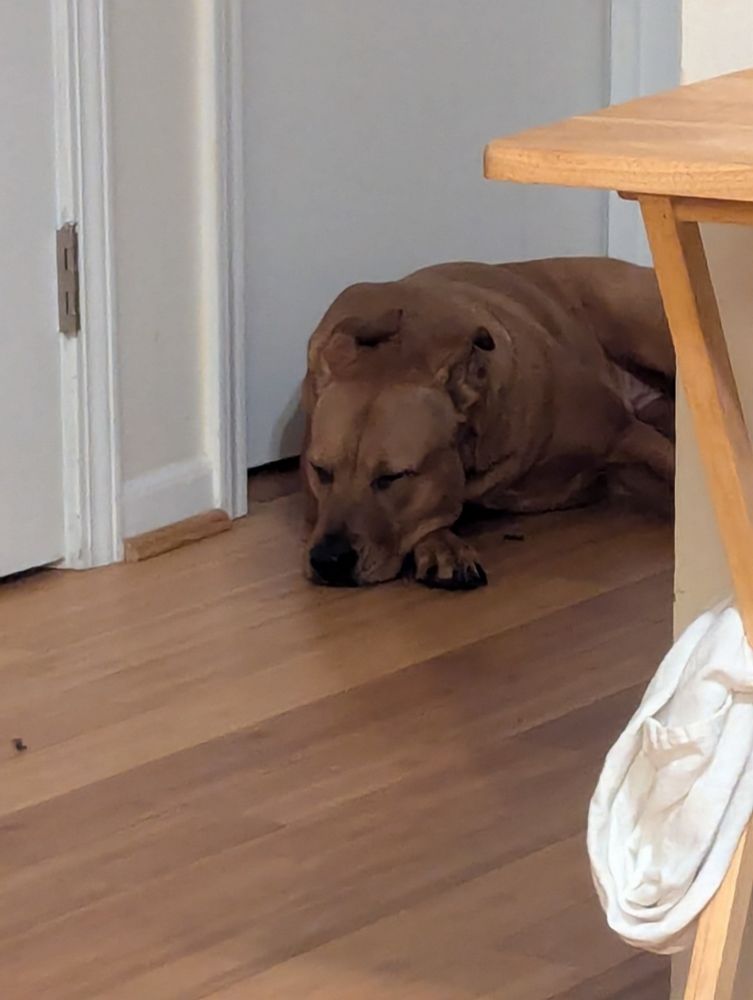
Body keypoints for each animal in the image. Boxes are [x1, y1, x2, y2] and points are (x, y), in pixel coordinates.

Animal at [302, 258, 674, 589]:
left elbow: (673, 467)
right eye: (320, 471)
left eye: (392, 477)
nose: (328, 560)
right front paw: (442, 546)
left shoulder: (624, 431)